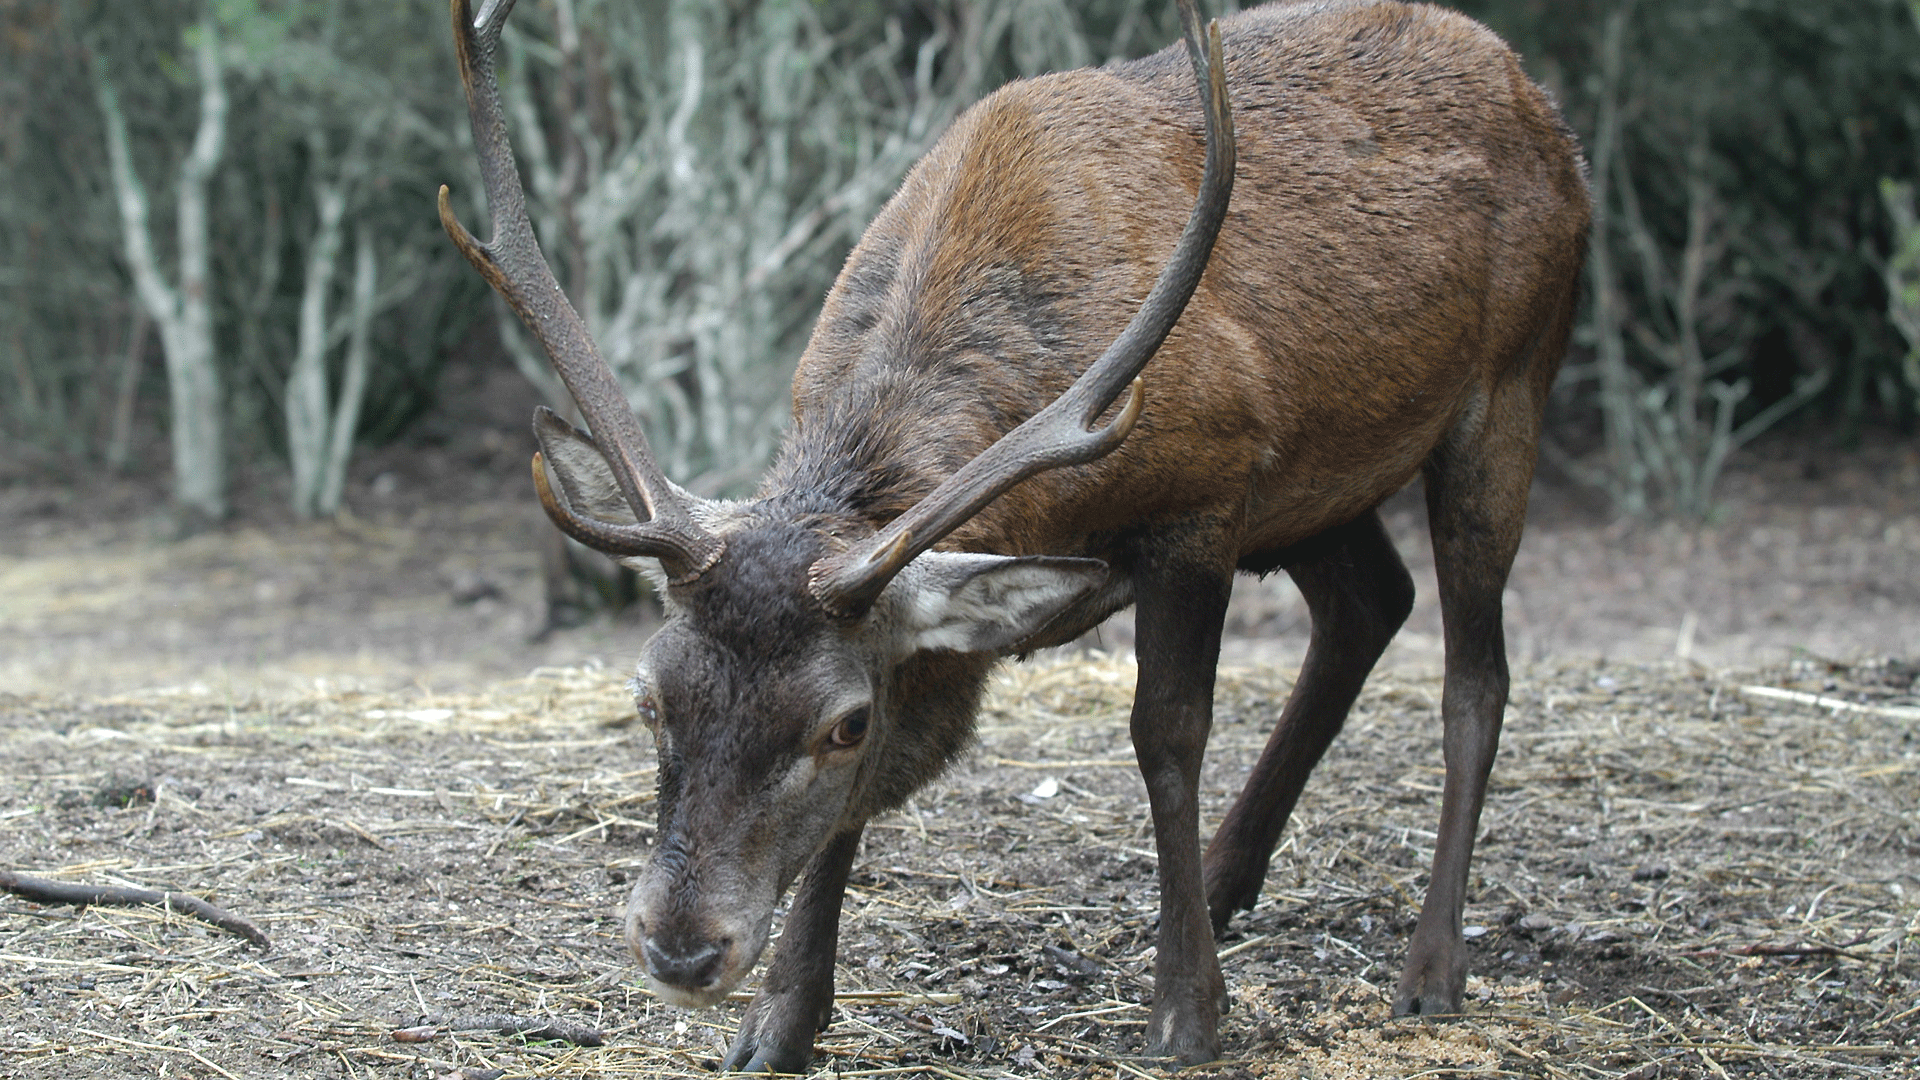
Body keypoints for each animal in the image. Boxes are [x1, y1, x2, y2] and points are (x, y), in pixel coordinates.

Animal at [439, 0, 1589, 1060]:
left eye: (842, 722)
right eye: (647, 697)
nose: (680, 948)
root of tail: (1533, 90)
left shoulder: (1205, 495)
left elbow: (1167, 733)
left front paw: (1187, 1012)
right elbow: (859, 813)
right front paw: (782, 1027)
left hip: (1508, 389)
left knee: (1476, 676)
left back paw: (1430, 967)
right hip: (1316, 487)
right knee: (1371, 603)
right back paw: (1226, 879)